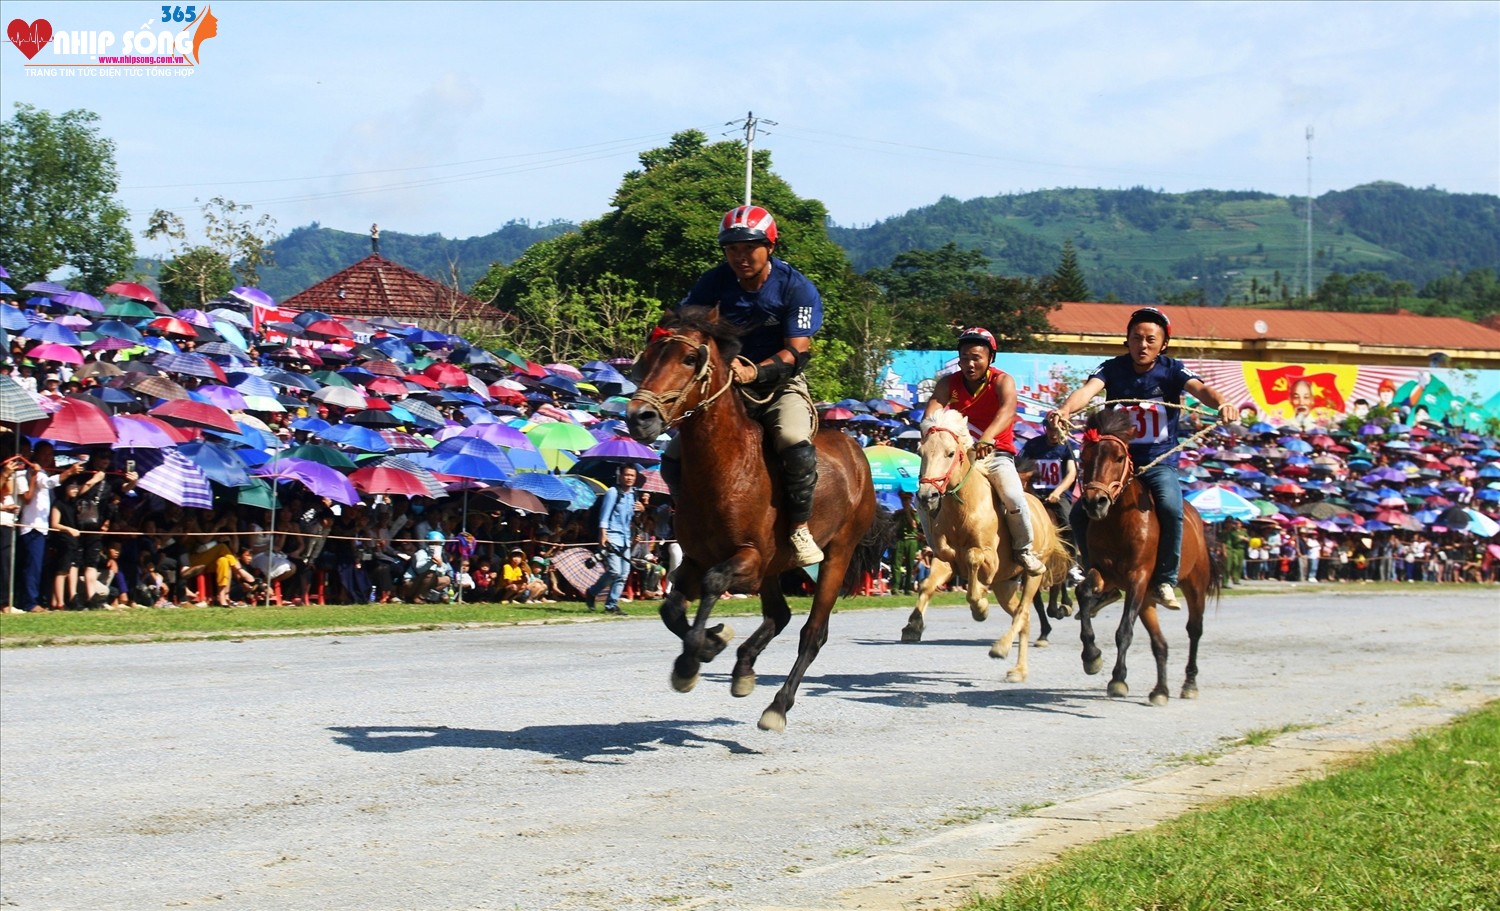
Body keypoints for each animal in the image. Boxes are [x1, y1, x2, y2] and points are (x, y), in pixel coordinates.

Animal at [624, 310, 876, 729]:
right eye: (647, 359)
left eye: (689, 359)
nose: (639, 418)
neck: (724, 468)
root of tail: (856, 450)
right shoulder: (696, 558)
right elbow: (671, 609)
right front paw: (712, 642)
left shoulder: (749, 559)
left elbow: (713, 583)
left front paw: (694, 658)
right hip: (776, 568)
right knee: (780, 614)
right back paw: (743, 667)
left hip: (837, 553)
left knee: (812, 632)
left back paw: (778, 705)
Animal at [1068, 411, 1218, 705]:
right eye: (1085, 456)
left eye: (1119, 457)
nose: (1094, 502)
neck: (1119, 521)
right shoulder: (1104, 572)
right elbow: (1083, 591)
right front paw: (1091, 657)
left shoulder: (1138, 577)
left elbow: (1124, 630)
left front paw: (1117, 679)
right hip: (1148, 599)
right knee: (1160, 643)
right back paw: (1160, 690)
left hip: (1193, 585)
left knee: (1194, 630)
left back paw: (1189, 684)